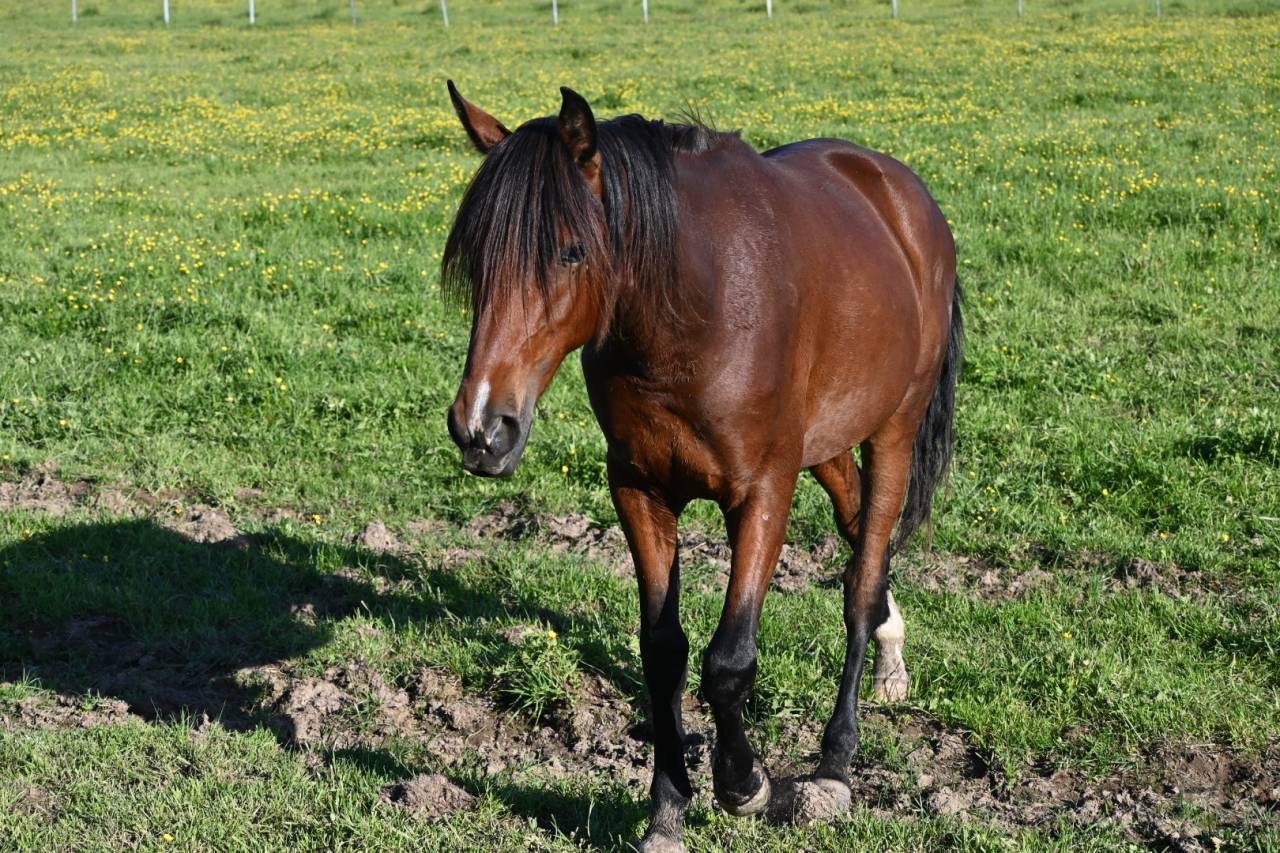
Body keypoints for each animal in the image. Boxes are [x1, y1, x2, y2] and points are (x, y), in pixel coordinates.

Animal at [443, 82, 962, 851]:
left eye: (570, 251)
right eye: (476, 258)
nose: (482, 427)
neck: (691, 310)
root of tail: (900, 190)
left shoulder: (763, 492)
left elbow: (728, 662)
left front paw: (747, 784)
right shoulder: (640, 489)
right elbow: (664, 652)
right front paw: (667, 811)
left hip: (893, 430)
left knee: (861, 579)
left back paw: (836, 762)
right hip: (832, 439)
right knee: (860, 528)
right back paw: (891, 652)